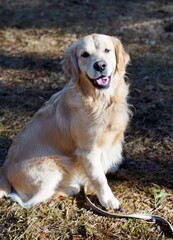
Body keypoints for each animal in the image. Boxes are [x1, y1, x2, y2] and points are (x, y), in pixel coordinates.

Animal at [0, 33, 130, 210]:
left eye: (107, 50)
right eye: (84, 55)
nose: (100, 65)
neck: (101, 101)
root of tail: (4, 170)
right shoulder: (88, 151)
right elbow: (99, 178)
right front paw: (108, 200)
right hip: (54, 165)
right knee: (27, 201)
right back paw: (71, 188)